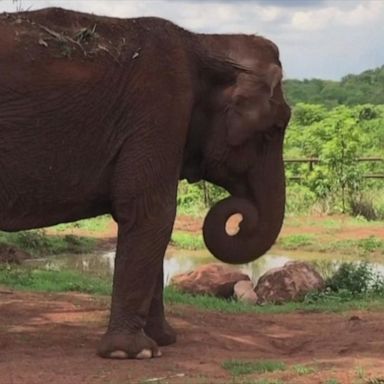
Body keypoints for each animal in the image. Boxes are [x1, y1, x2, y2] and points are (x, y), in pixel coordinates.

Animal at [0, 8, 292, 360]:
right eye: (274, 129)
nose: (240, 218)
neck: (205, 42)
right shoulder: (160, 108)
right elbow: (152, 213)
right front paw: (132, 353)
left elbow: (151, 220)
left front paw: (164, 340)